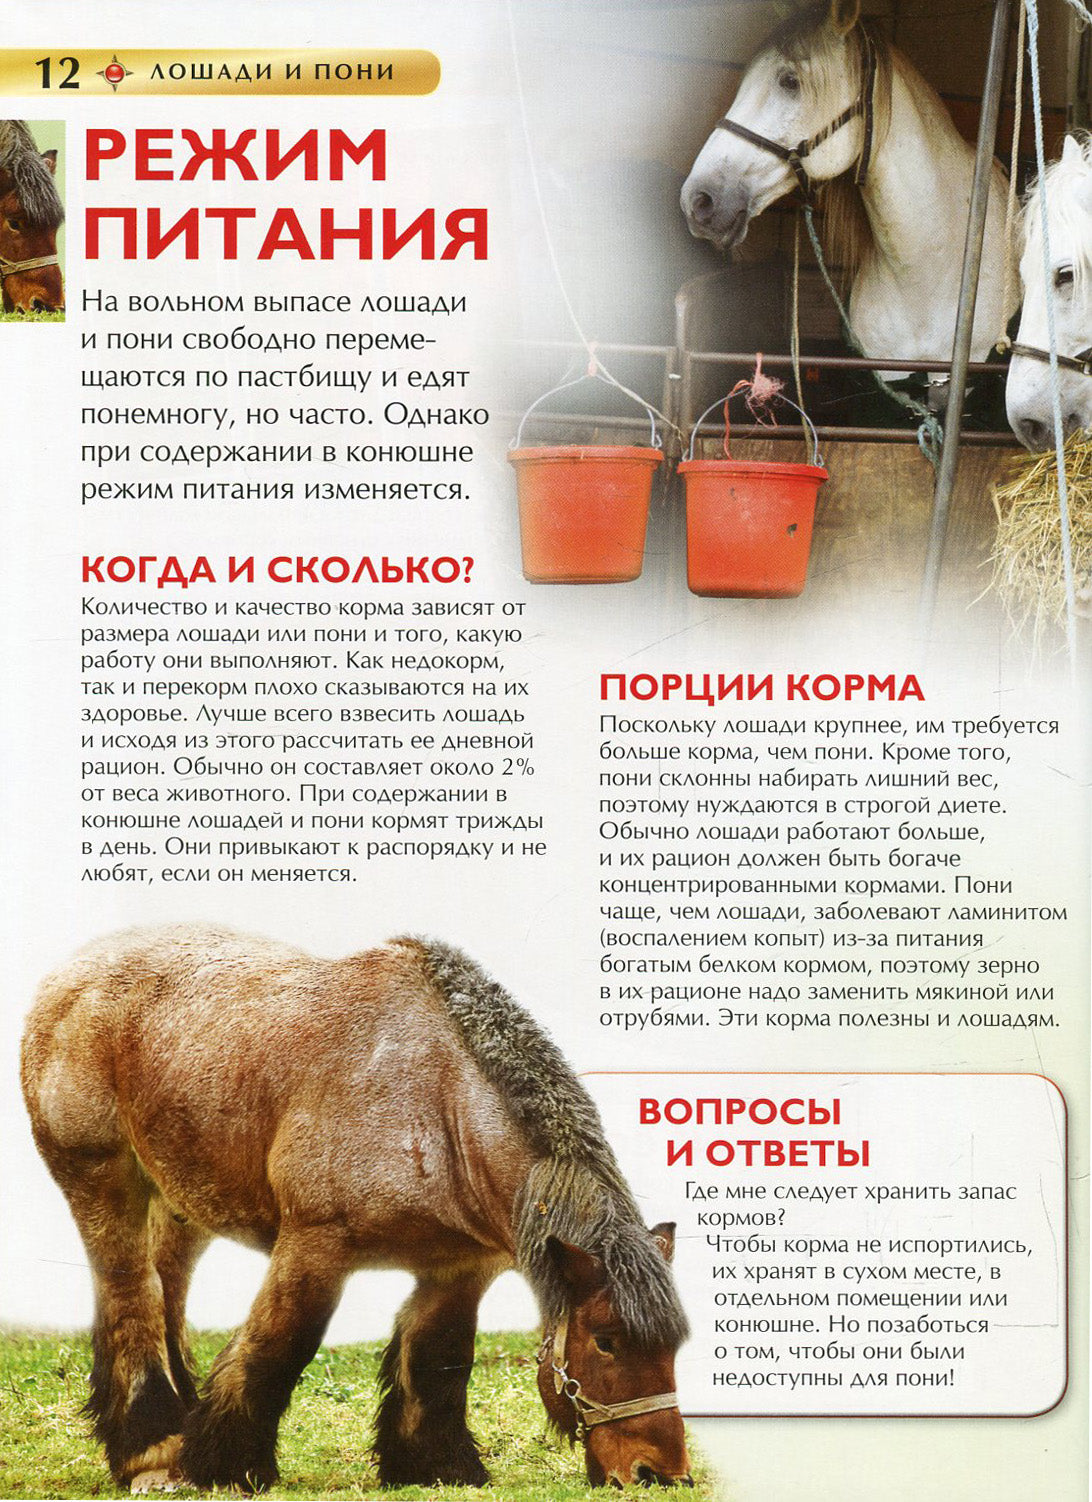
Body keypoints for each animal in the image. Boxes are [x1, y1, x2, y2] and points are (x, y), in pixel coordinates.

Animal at [21, 926, 692, 1494]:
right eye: (605, 1342)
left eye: (674, 1348)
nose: (658, 1475)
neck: (438, 1102)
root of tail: (68, 973)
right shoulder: (315, 1248)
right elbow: (276, 1348)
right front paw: (225, 1467)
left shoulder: (458, 1269)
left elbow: (438, 1361)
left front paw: (435, 1467)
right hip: (102, 1180)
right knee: (131, 1296)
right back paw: (154, 1452)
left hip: (182, 1203)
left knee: (168, 1291)